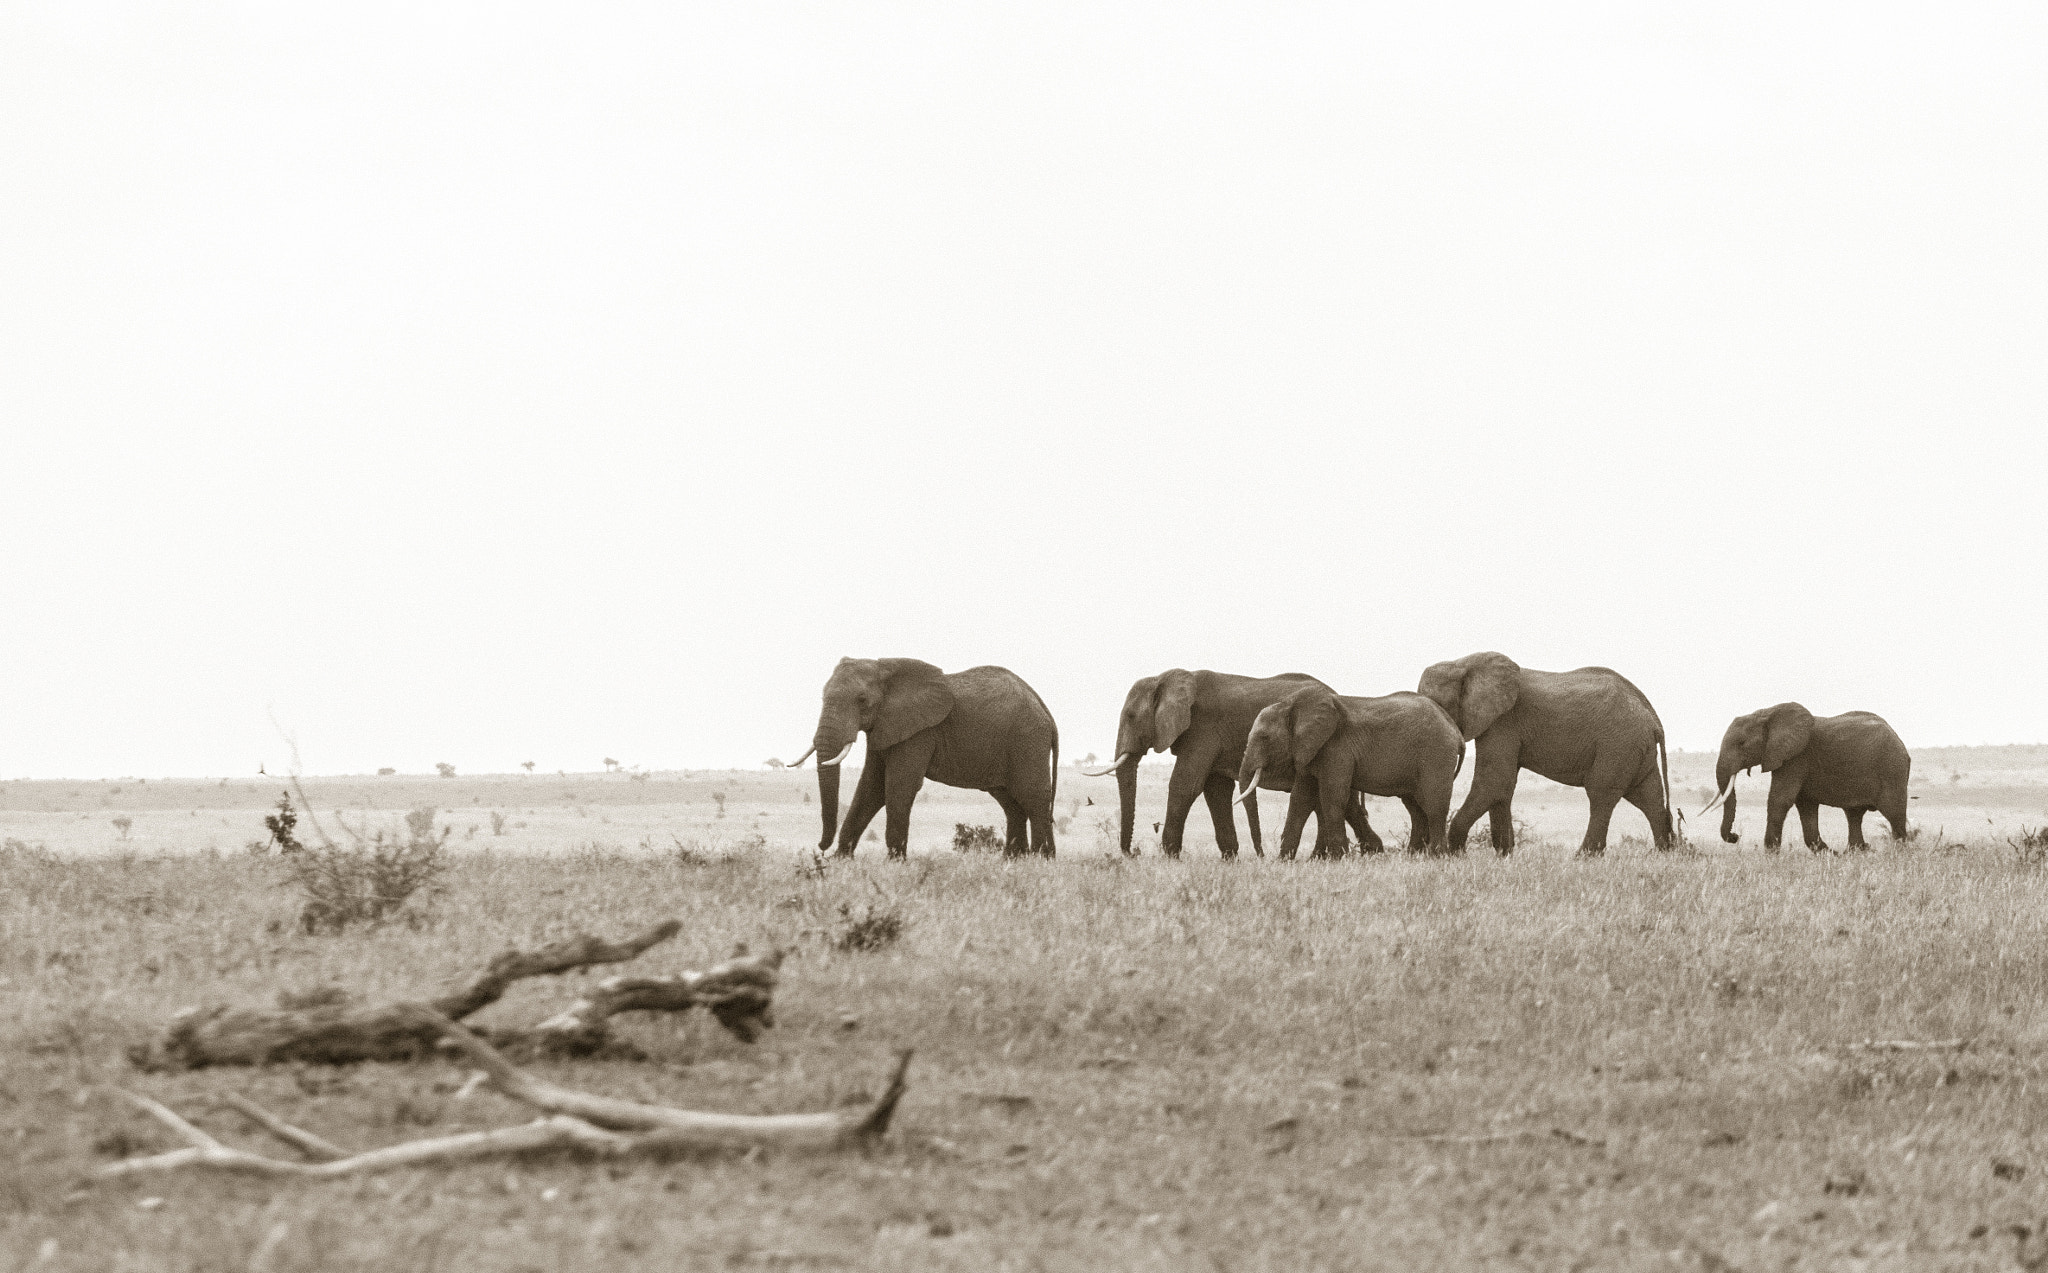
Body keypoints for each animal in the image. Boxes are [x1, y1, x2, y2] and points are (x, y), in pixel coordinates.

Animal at [790, 663, 1064, 863]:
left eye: (862, 700)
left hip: (1027, 741)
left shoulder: (919, 732)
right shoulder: (886, 727)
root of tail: (1046, 711)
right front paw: (840, 862)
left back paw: (1042, 862)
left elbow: (899, 786)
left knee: (1033, 798)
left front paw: (895, 864)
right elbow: (871, 788)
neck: (884, 668)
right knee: (1011, 803)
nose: (820, 848)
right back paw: (1012, 862)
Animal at [1089, 675, 1376, 863]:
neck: (1166, 678)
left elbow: (1185, 784)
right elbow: (1215, 791)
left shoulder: (1202, 729)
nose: (1131, 854)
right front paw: (1230, 858)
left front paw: (1170, 857)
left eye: (1130, 717)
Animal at [1220, 687, 1466, 859]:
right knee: (1415, 807)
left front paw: (1339, 858)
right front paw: (1284, 861)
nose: (1262, 857)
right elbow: (1300, 799)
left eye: (1264, 738)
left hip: (1436, 753)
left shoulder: (1336, 748)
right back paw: (1413, 856)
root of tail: (1455, 731)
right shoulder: (1311, 748)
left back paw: (1436, 856)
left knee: (1433, 804)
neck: (1291, 706)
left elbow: (1332, 796)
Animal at [1417, 659, 1671, 859]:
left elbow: (1493, 781)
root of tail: (1653, 718)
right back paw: (1664, 853)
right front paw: (1505, 855)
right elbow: (1502, 787)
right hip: (1635, 749)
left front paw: (1457, 853)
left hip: (1618, 744)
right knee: (1649, 796)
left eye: (1439, 706)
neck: (1463, 663)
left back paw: (1583, 857)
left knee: (1602, 793)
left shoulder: (1503, 721)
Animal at [1695, 708, 1900, 859]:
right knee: (1854, 815)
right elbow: (1805, 806)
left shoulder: (1796, 757)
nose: (1735, 837)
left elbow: (1780, 799)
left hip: (1892, 768)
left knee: (1893, 812)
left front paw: (1771, 855)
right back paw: (1857, 852)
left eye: (1742, 743)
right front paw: (1831, 855)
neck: (1767, 713)